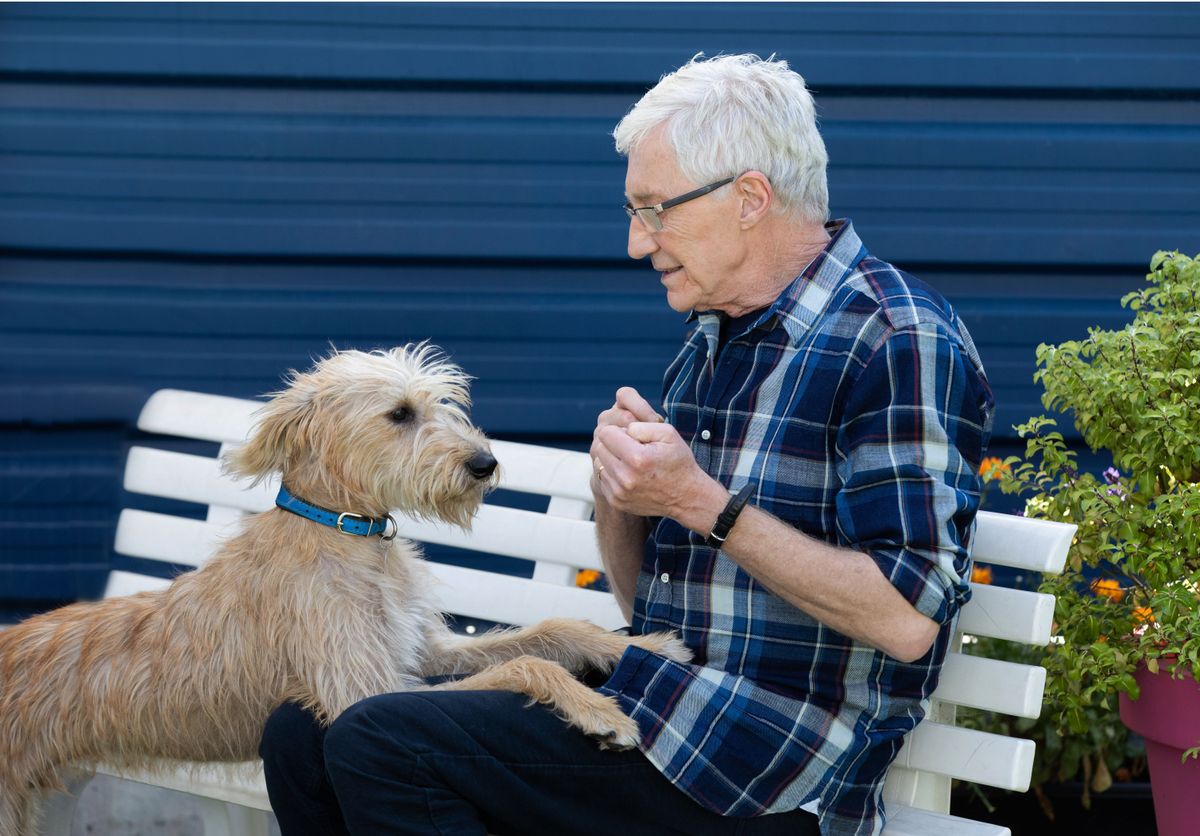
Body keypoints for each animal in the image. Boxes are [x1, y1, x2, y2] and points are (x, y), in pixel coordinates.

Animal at [0, 343, 691, 830]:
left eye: (446, 402)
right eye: (399, 413)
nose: (485, 464)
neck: (348, 534)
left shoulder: (424, 653)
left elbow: (549, 630)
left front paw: (647, 648)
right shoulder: (368, 689)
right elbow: (527, 665)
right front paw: (600, 711)